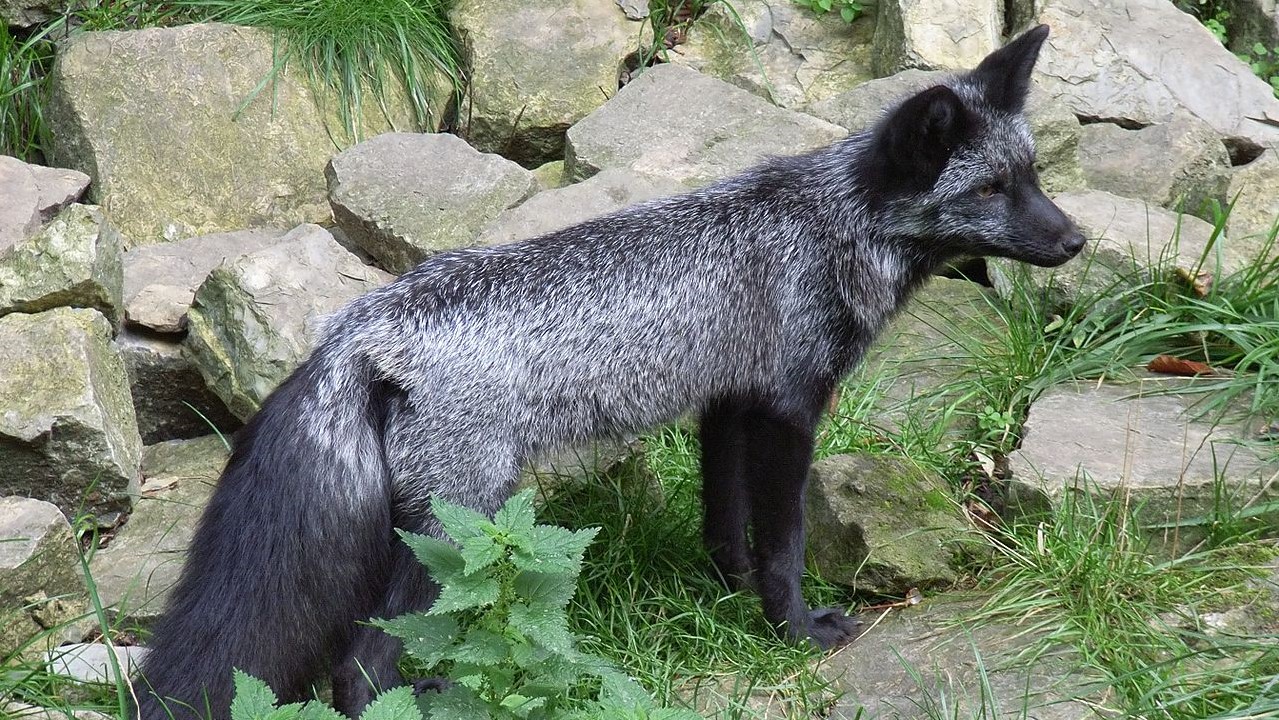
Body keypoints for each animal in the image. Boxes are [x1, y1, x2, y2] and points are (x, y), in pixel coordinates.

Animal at [134, 23, 1083, 720]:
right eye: (989, 189)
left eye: (1032, 175)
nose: (1075, 241)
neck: (824, 227)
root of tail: (356, 331)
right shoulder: (788, 409)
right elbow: (782, 544)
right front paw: (794, 631)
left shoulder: (725, 404)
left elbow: (727, 530)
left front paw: (726, 602)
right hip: (455, 524)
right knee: (360, 671)